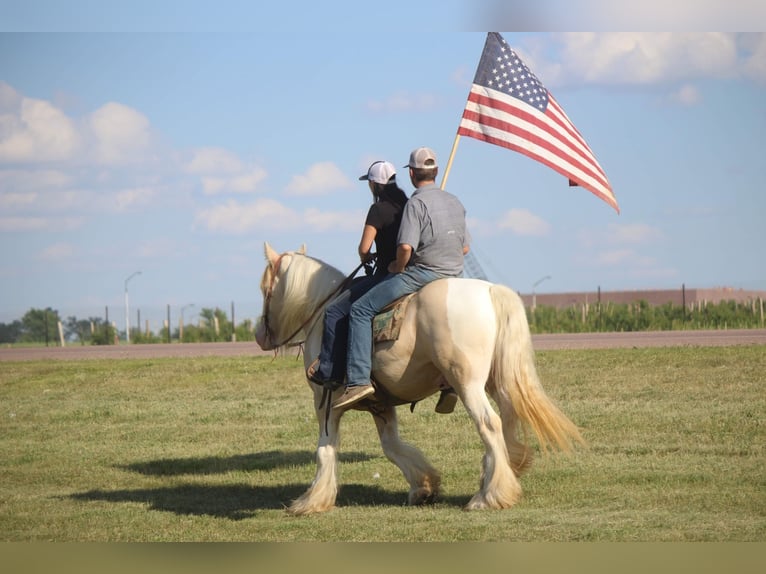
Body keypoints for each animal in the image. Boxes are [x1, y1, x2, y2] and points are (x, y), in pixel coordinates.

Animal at [255, 243, 584, 516]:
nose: (259, 335)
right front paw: (424, 486)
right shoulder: (380, 404)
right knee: (507, 420)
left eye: (264, 289)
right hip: (496, 382)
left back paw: (489, 496)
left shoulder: (325, 403)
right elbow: (392, 446)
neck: (323, 313)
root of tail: (491, 291)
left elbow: (325, 450)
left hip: (468, 384)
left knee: (490, 424)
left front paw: (311, 501)